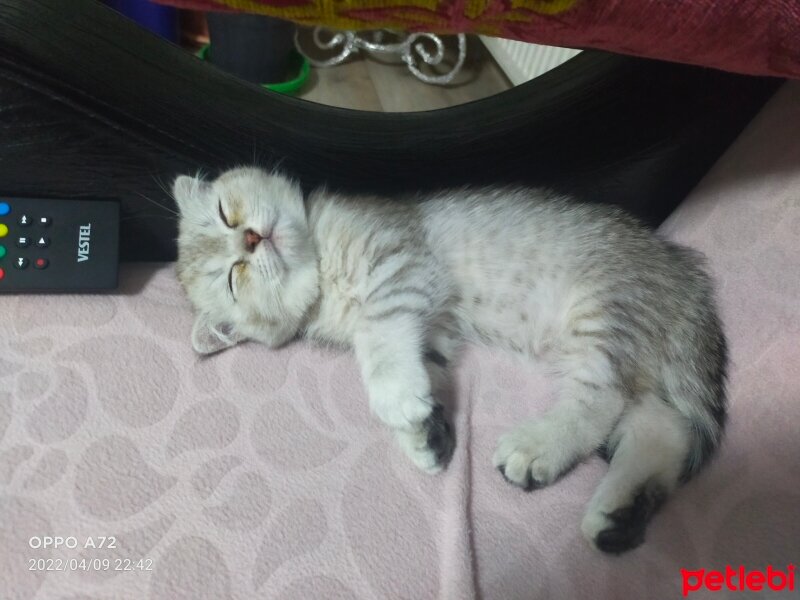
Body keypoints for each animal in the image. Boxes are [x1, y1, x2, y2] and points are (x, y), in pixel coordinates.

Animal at [173, 166, 724, 556]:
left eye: (224, 212)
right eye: (233, 278)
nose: (250, 238)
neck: (323, 272)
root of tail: (682, 273)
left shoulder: (400, 267)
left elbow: (378, 339)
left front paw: (394, 397)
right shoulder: (432, 328)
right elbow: (421, 368)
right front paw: (423, 432)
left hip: (603, 313)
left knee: (604, 399)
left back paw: (538, 448)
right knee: (663, 426)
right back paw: (618, 513)